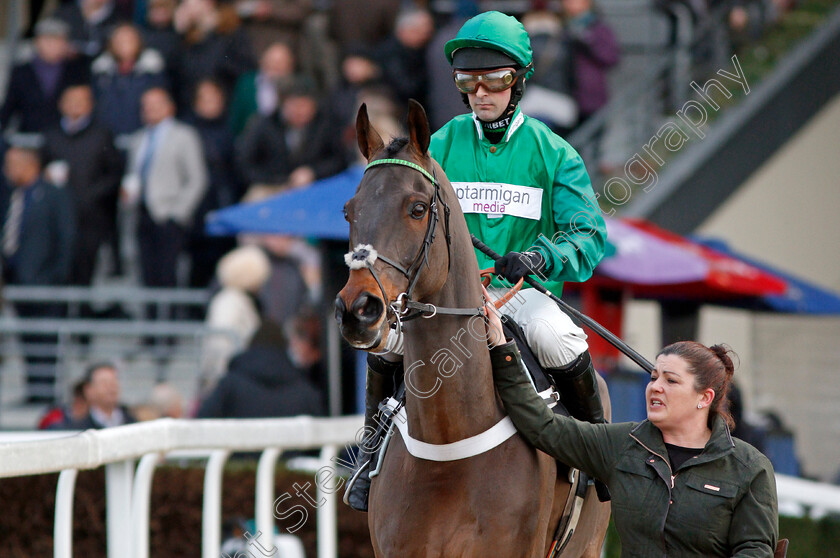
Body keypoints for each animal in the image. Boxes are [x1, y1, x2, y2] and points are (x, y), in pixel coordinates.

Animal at [334, 101, 612, 558]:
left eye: (417, 208)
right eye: (349, 210)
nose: (358, 309)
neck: (450, 443)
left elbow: (585, 231)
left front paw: (522, 261)